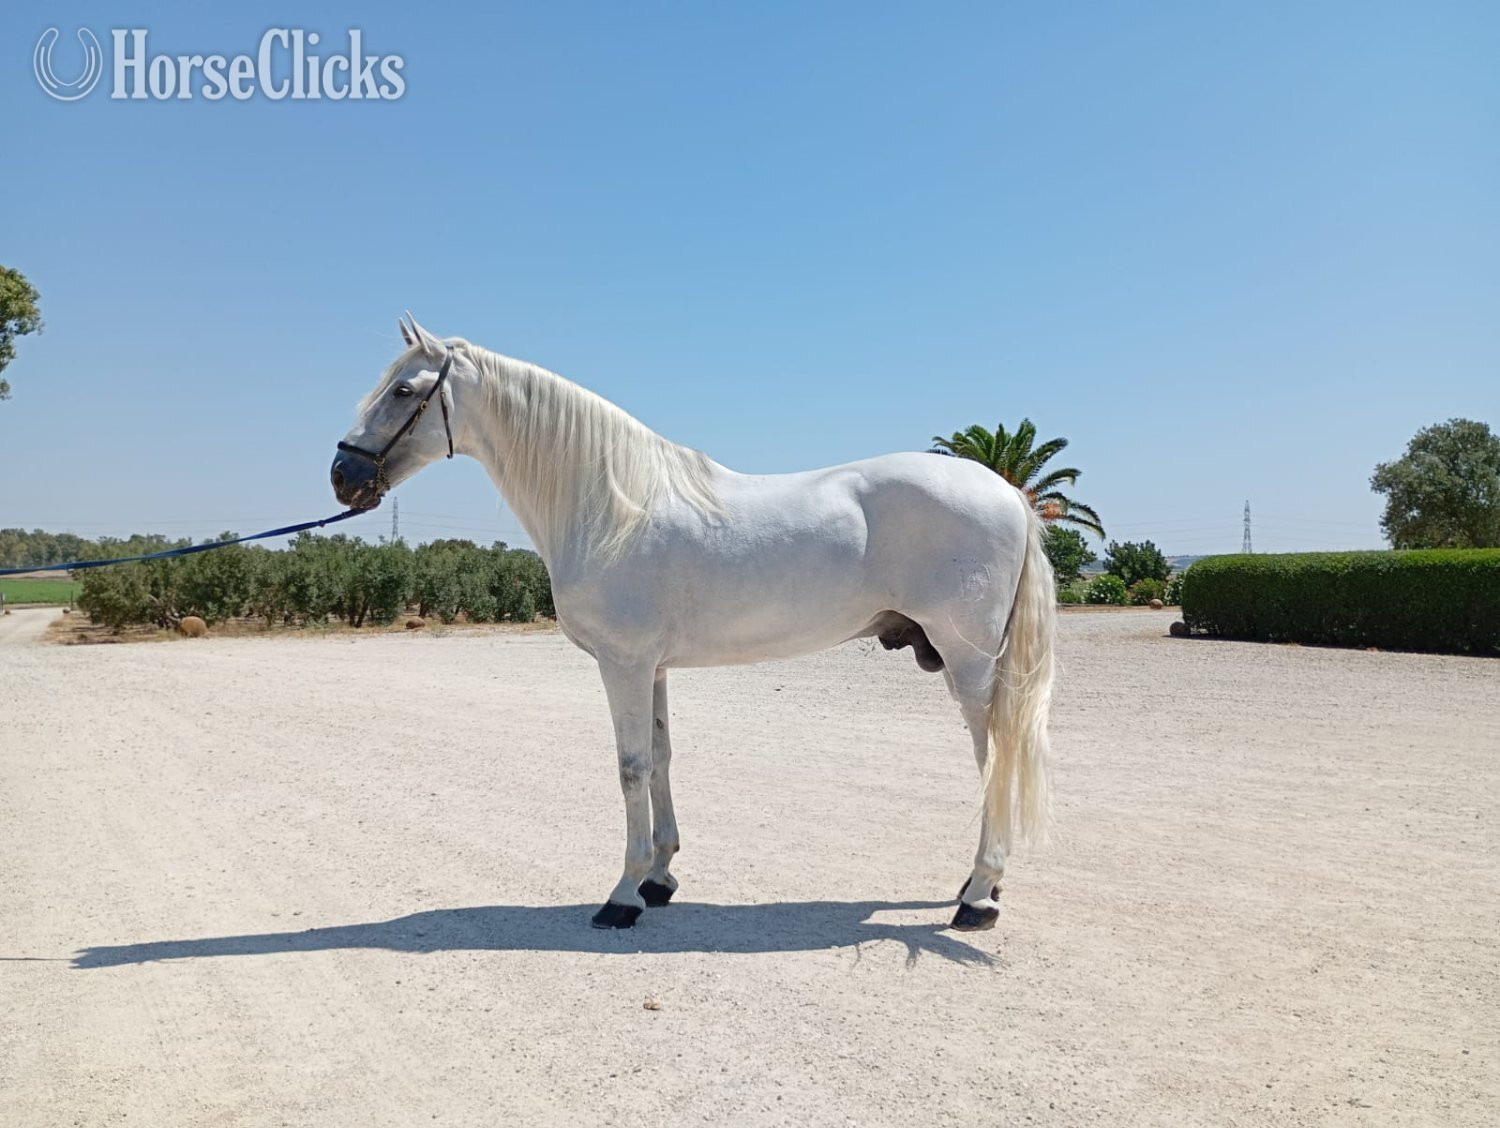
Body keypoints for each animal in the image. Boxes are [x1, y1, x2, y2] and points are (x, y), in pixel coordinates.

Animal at [331, 315, 1056, 932]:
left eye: (403, 390)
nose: (343, 474)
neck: (612, 507)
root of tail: (1007, 492)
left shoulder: (622, 664)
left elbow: (628, 766)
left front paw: (622, 897)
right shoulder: (650, 668)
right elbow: (659, 760)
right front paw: (659, 878)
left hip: (968, 663)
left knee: (996, 757)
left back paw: (977, 898)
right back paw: (980, 888)